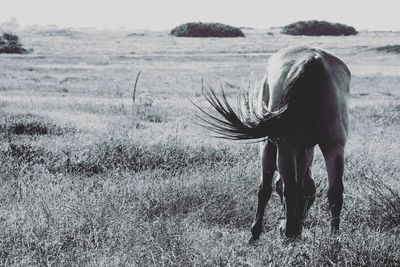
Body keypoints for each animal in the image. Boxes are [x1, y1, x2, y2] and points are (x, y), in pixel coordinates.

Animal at [194, 45, 350, 240]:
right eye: (310, 199)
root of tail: (314, 59)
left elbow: (264, 188)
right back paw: (333, 238)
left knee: (291, 188)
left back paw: (289, 235)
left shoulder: (268, 145)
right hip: (334, 146)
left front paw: (255, 233)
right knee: (335, 191)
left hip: (285, 147)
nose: (295, 228)